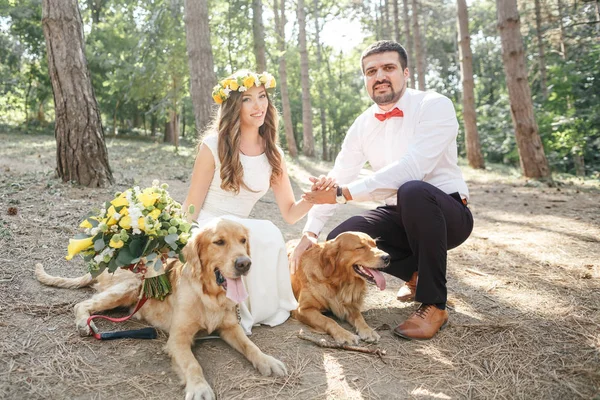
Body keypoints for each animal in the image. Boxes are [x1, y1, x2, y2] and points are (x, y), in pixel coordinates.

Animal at [36, 217, 288, 400]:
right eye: (219, 242)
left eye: (243, 240)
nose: (245, 263)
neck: (208, 296)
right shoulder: (178, 339)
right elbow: (193, 364)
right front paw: (199, 387)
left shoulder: (230, 328)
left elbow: (250, 346)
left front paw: (267, 360)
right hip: (130, 286)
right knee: (82, 304)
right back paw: (84, 323)